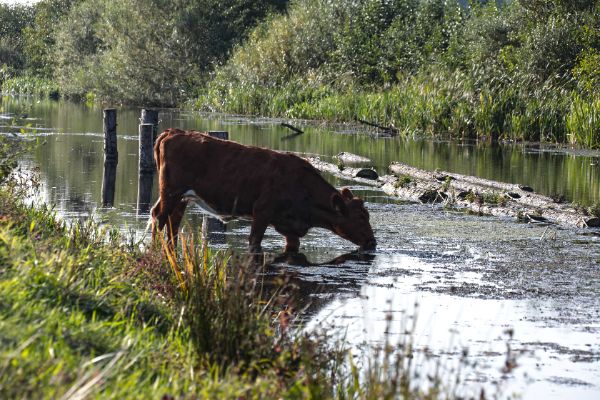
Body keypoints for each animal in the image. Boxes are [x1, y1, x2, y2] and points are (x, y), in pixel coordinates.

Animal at [150, 129, 376, 253]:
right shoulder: (262, 212)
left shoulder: (289, 228)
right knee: (159, 217)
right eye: (360, 218)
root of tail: (174, 131)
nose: (372, 242)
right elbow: (254, 242)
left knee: (171, 222)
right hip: (171, 191)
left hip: (182, 197)